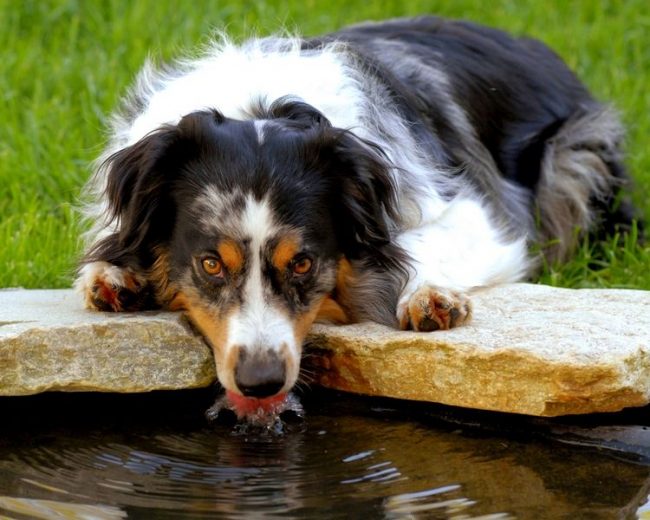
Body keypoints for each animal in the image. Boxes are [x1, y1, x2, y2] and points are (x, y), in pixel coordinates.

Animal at [77, 16, 636, 404]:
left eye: (303, 263)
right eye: (210, 264)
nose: (260, 383)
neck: (262, 104)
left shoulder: (476, 212)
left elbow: (413, 242)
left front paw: (428, 296)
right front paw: (113, 276)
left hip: (577, 156)